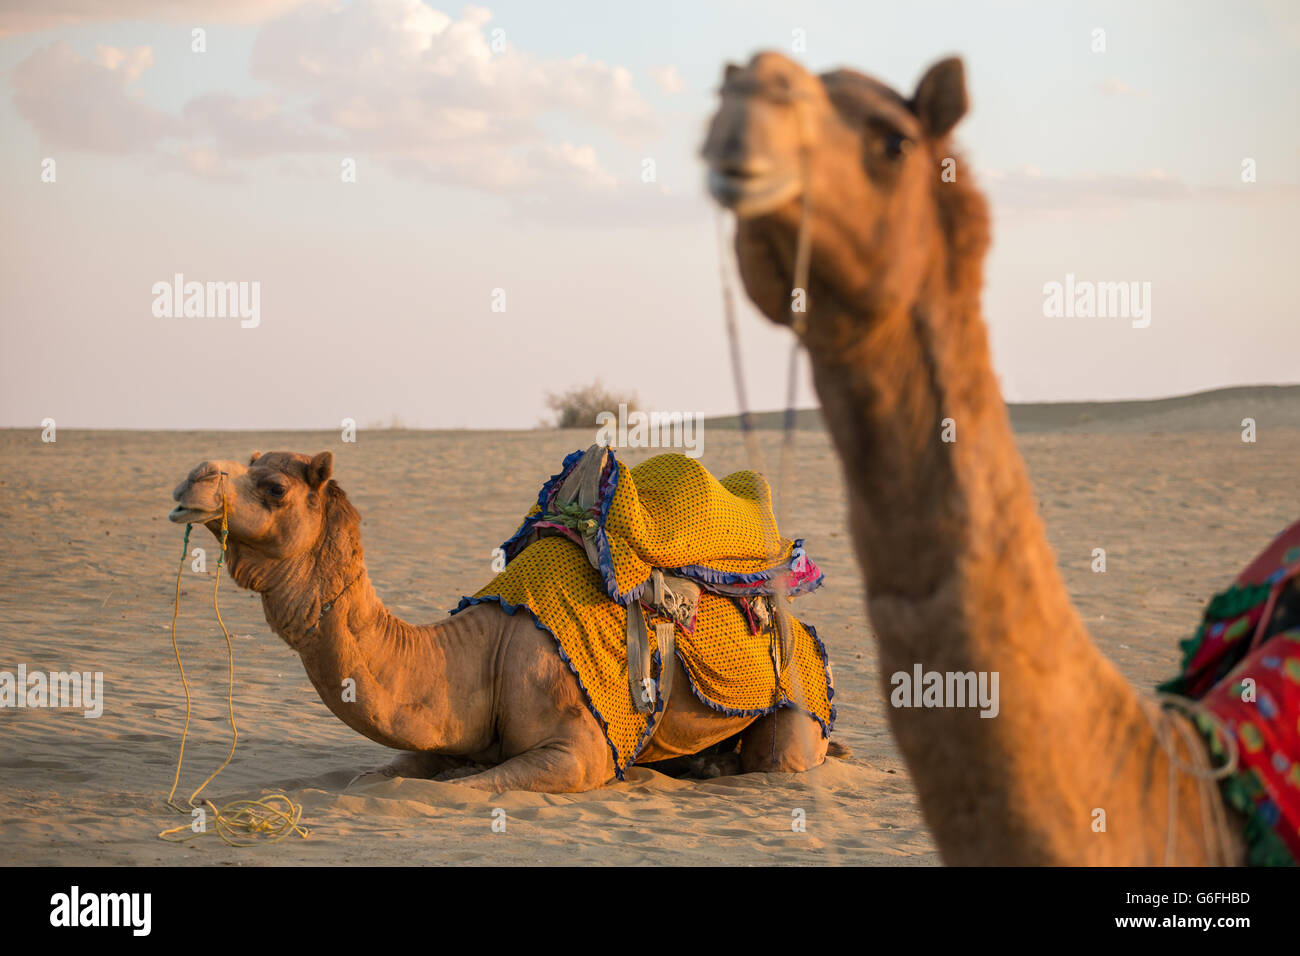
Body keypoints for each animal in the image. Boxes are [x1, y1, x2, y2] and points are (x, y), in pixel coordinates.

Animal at [167, 452, 832, 796]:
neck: (482, 654)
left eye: (275, 486)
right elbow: (381, 774)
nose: (193, 478)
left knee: (782, 758)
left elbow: (469, 787)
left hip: (800, 704)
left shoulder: (581, 748)